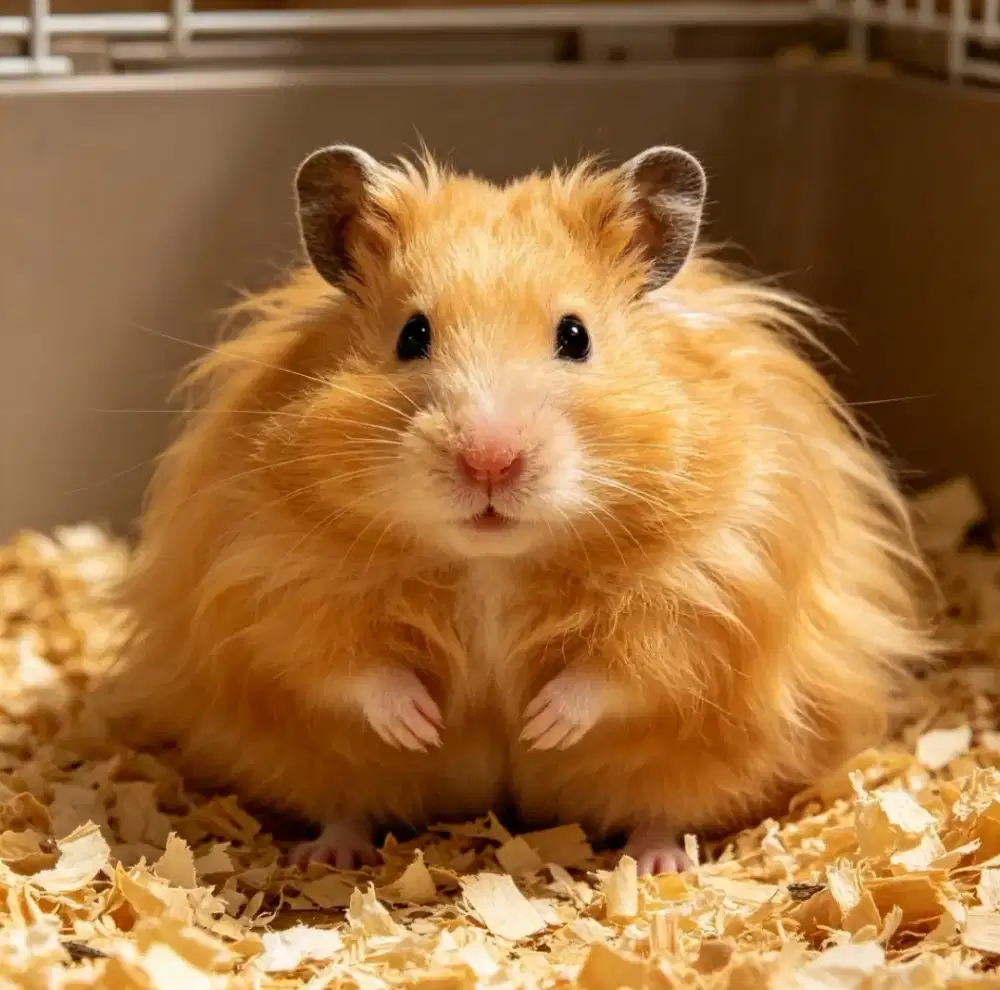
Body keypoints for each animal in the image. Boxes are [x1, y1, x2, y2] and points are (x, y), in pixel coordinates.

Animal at [103, 143, 932, 873]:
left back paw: (656, 863)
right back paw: (332, 852)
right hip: (317, 757)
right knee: (345, 800)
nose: (489, 461)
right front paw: (424, 723)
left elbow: (623, 667)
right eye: (412, 334)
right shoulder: (270, 579)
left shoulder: (716, 580)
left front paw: (540, 723)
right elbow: (348, 663)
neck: (491, 562)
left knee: (664, 808)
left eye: (576, 336)